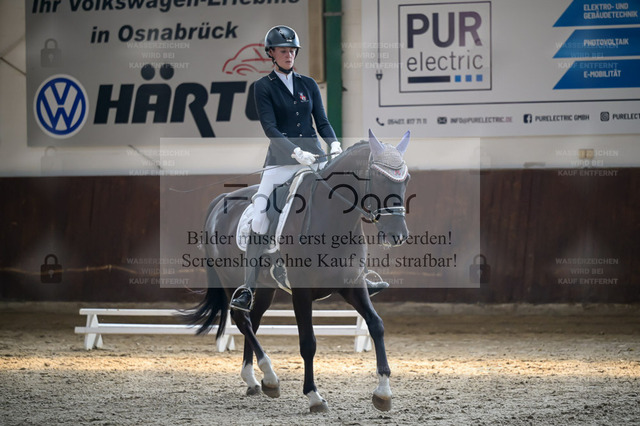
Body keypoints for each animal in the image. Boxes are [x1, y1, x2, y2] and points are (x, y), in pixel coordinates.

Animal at [185, 129, 411, 413]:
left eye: (406, 180)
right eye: (378, 179)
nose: (398, 235)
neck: (333, 220)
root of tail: (219, 201)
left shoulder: (353, 284)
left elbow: (376, 325)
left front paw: (383, 392)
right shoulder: (302, 293)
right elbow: (308, 342)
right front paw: (314, 396)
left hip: (265, 287)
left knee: (253, 320)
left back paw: (254, 379)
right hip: (230, 280)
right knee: (241, 318)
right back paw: (269, 376)